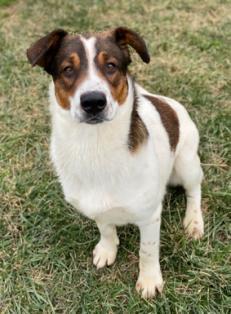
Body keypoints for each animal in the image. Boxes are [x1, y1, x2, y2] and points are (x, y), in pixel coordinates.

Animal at [26, 27, 204, 300]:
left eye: (110, 65)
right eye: (67, 69)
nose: (93, 102)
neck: (94, 147)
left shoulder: (150, 216)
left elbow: (147, 250)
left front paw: (149, 280)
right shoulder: (96, 206)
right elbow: (106, 228)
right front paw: (107, 249)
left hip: (186, 163)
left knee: (195, 189)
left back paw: (194, 221)